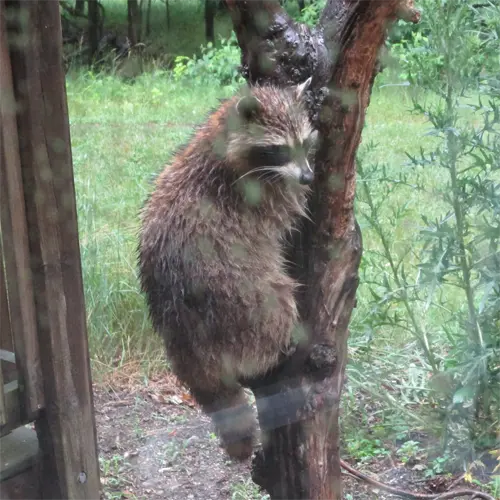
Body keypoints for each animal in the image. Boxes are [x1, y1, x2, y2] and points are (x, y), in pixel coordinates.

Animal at [137, 79, 316, 460]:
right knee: (275, 303)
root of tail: (186, 342)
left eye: (305, 143)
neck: (219, 138)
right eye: (280, 150)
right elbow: (292, 208)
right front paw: (306, 193)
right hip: (240, 300)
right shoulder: (254, 193)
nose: (308, 176)